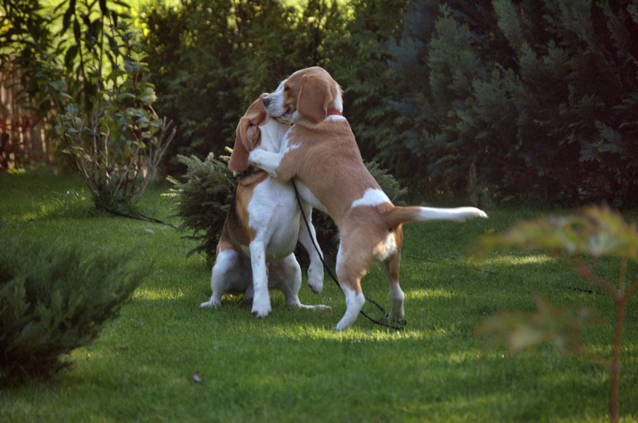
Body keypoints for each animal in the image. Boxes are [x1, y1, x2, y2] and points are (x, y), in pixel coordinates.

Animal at [200, 94, 330, 316]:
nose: (267, 97)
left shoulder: (305, 224)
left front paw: (317, 279)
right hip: (225, 261)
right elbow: (260, 276)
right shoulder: (258, 240)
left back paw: (314, 307)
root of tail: (246, 289)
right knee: (218, 294)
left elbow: (318, 251)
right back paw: (213, 304)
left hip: (292, 265)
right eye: (263, 98)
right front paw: (261, 306)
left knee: (293, 301)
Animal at [246, 67, 490, 332]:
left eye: (288, 88)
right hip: (391, 261)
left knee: (357, 297)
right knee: (398, 293)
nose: (265, 100)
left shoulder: (283, 165)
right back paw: (394, 319)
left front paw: (250, 153)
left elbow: (260, 155)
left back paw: (340, 327)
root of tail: (388, 212)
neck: (328, 115)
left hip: (346, 261)